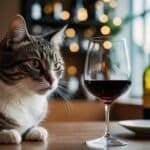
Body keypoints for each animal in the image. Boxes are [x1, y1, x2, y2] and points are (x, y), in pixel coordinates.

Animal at [0, 14, 65, 144]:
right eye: (34, 63)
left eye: (56, 66)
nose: (52, 80)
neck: (23, 97)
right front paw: (7, 132)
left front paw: (35, 130)